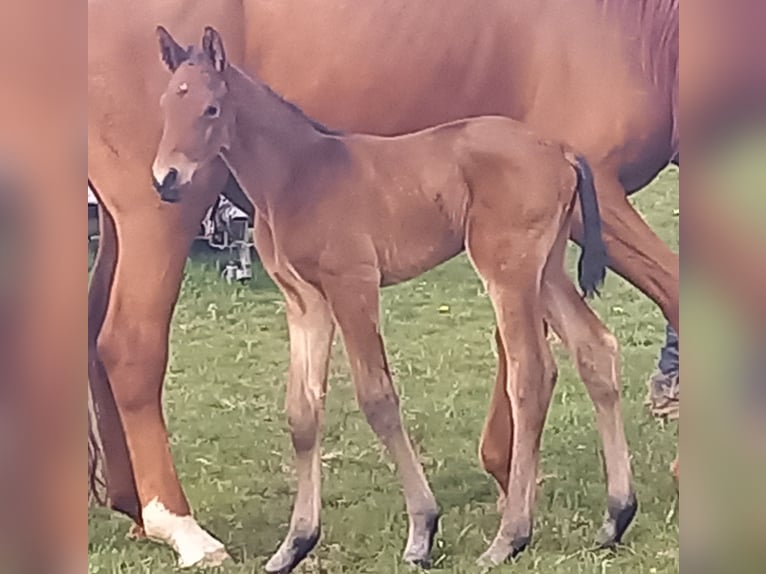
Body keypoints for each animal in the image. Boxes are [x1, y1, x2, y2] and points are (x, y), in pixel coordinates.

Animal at [150, 25, 636, 572]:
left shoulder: (352, 285)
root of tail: (560, 150)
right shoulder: (305, 301)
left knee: (531, 372)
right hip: (545, 270)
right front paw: (294, 544)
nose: (166, 180)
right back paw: (616, 515)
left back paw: (511, 535)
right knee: (595, 349)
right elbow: (302, 413)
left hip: (507, 270)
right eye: (167, 103)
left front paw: (422, 530)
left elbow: (377, 398)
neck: (297, 175)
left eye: (211, 108)